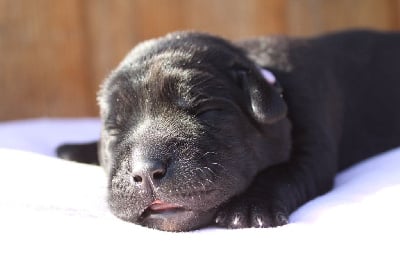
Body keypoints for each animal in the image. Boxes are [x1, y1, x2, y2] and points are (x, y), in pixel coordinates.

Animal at [57, 29, 400, 231]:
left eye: (206, 112)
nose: (145, 171)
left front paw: (250, 207)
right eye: (114, 129)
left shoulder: (313, 142)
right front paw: (76, 148)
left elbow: (286, 172)